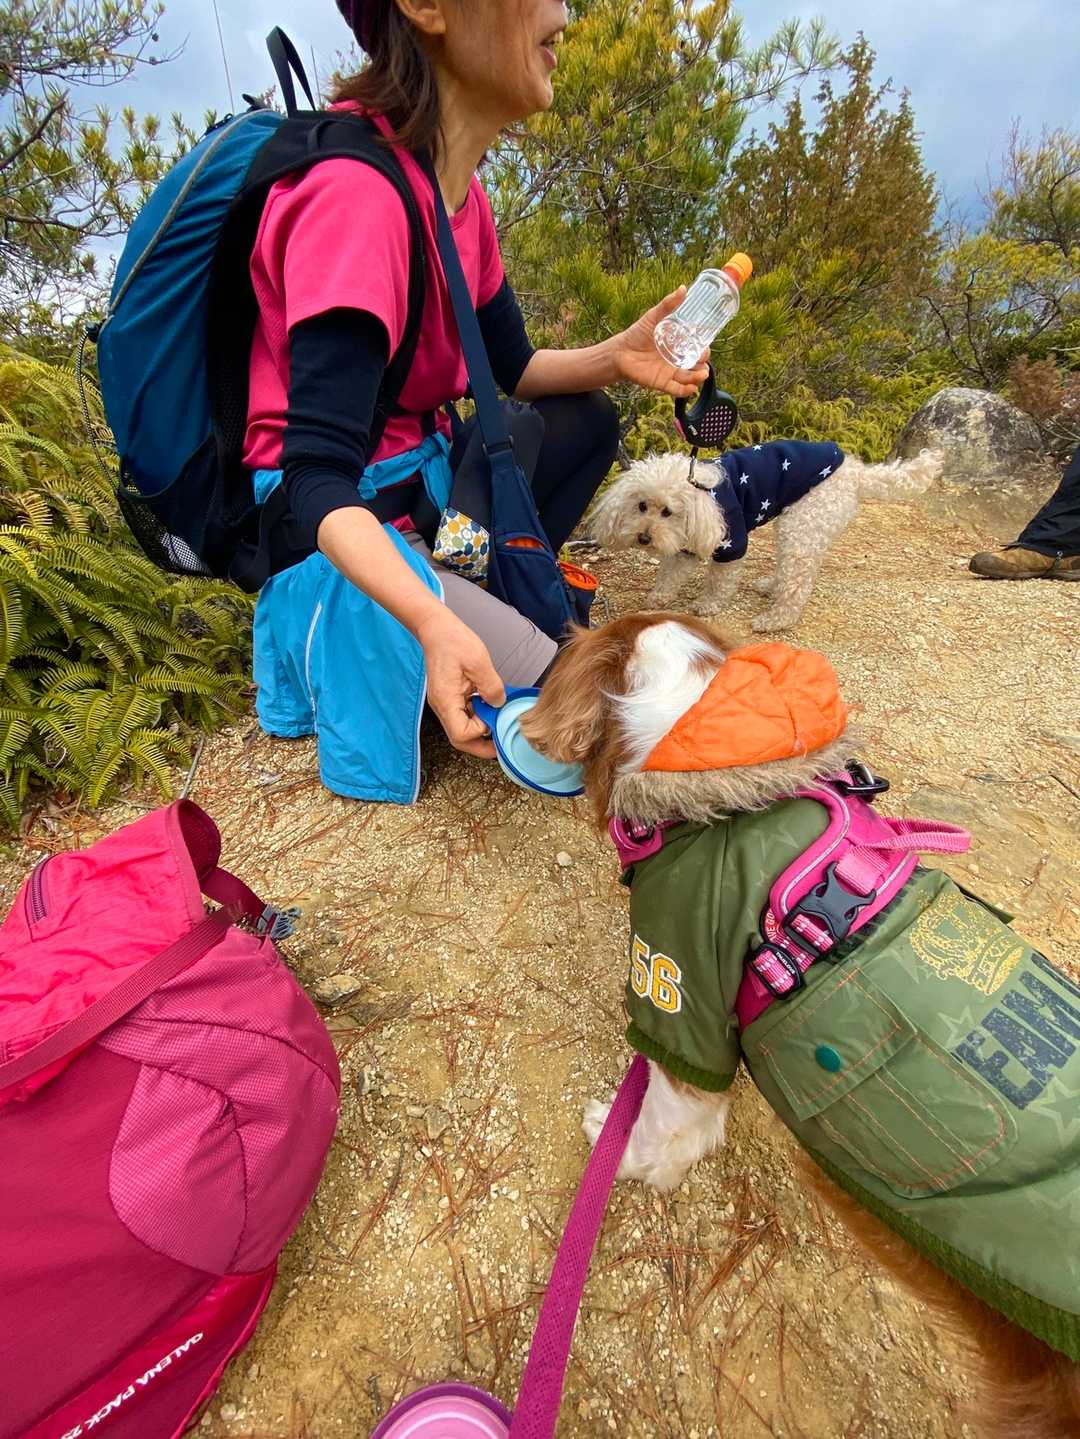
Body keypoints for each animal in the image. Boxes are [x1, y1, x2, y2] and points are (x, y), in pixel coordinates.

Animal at [588, 443, 943, 630]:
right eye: (641, 506)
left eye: (667, 511)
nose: (644, 538)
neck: (702, 493)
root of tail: (854, 469)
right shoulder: (686, 544)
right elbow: (671, 573)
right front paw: (658, 598)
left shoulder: (730, 540)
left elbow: (720, 581)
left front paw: (708, 604)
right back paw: (770, 587)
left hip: (802, 525)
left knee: (797, 582)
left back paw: (775, 619)